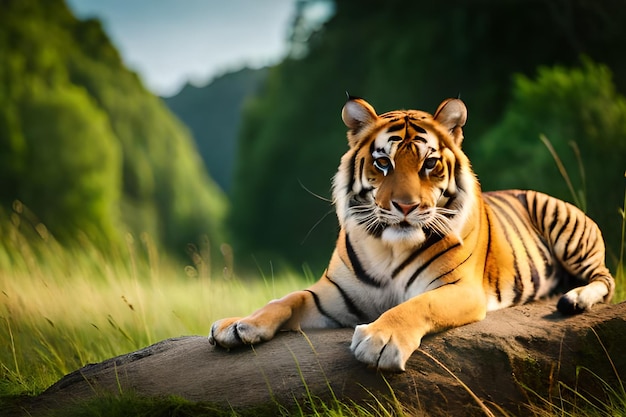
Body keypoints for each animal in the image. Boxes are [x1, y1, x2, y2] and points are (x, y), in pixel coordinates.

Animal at [207, 96, 612, 370]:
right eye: (383, 162)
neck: (389, 249)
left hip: (564, 225)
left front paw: (380, 340)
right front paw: (238, 326)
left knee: (605, 279)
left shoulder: (460, 289)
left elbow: (417, 304)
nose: (405, 206)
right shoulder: (333, 296)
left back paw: (575, 299)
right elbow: (285, 299)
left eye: (430, 163)